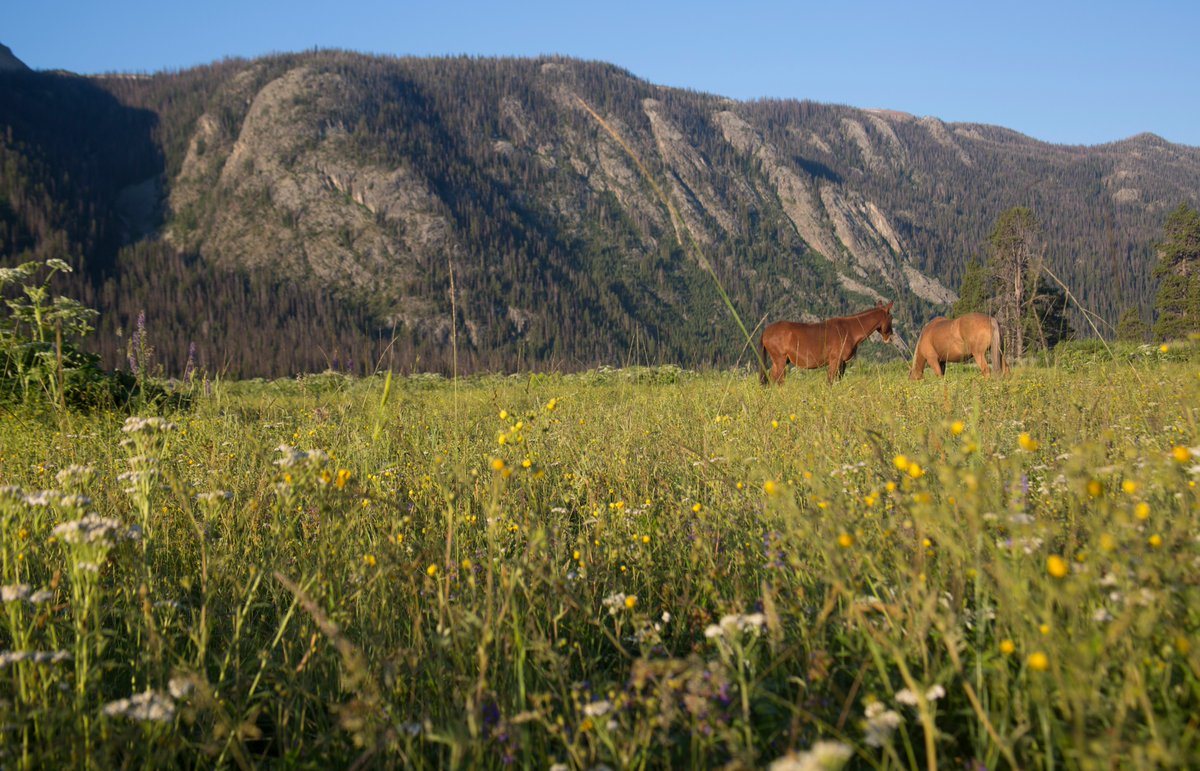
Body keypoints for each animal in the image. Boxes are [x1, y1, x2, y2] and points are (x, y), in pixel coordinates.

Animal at [760, 302, 894, 385]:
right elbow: (830, 381)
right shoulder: (835, 360)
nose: (890, 337)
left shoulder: (842, 363)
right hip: (780, 361)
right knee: (779, 381)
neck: (849, 329)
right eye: (891, 318)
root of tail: (766, 331)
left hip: (779, 361)